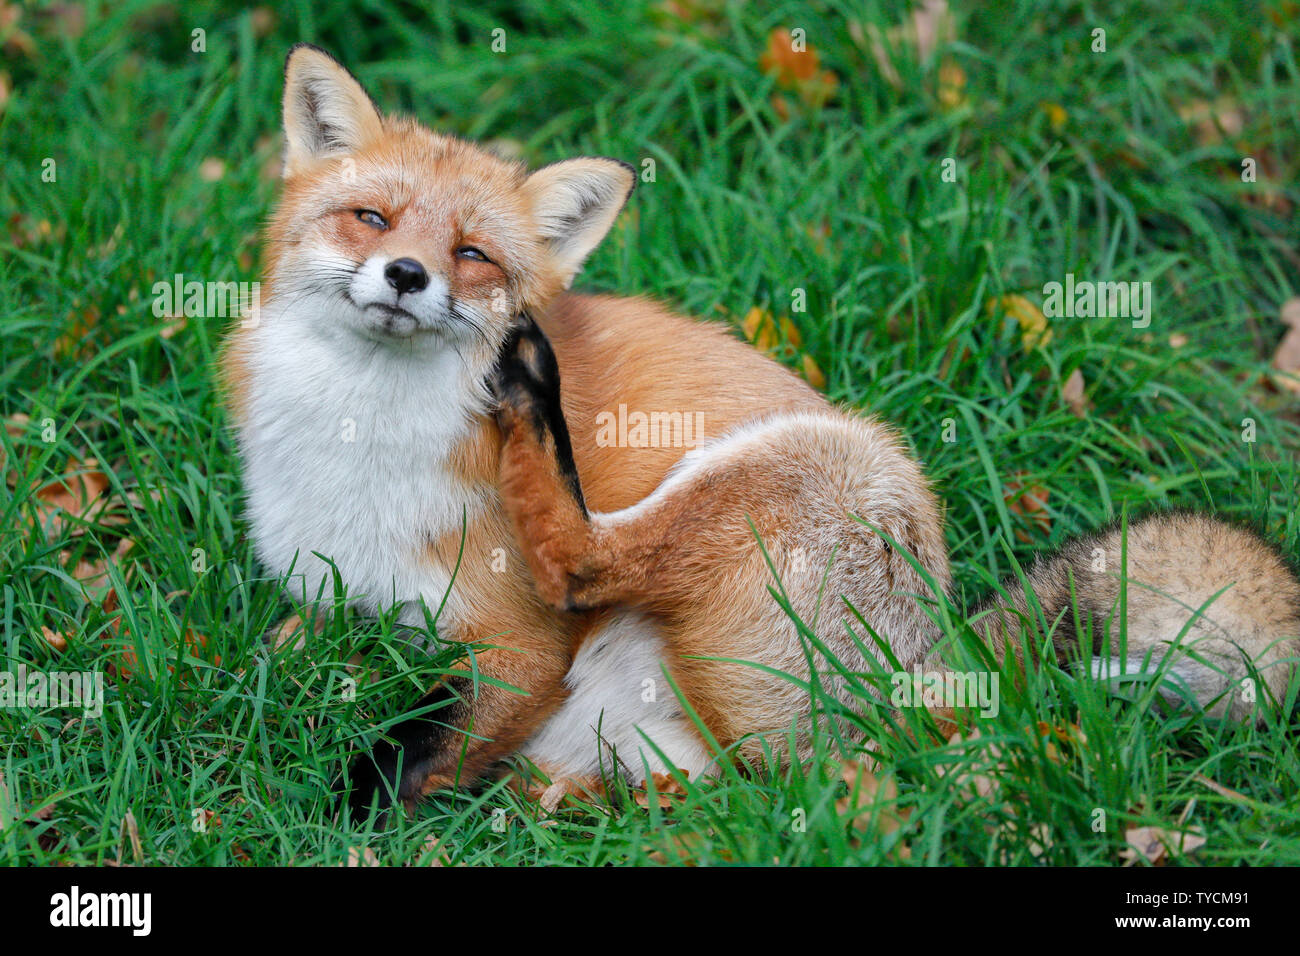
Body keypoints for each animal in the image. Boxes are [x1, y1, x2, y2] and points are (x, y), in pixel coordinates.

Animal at [223, 44, 1300, 816]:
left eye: (473, 254)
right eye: (371, 218)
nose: (408, 276)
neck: (358, 445)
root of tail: (928, 667)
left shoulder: (515, 644)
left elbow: (414, 759)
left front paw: (335, 812)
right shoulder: (324, 595)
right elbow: (290, 657)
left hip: (786, 467)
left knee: (589, 563)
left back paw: (534, 395)